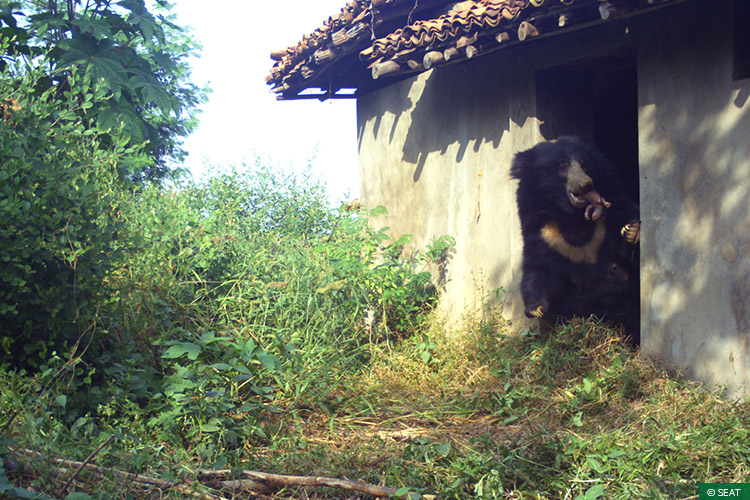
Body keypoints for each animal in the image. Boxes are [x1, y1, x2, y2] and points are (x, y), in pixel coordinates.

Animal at [510, 136, 640, 334]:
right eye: (562, 166)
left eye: (584, 164)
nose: (587, 184)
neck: (571, 216)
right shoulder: (543, 232)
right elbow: (539, 266)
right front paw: (535, 308)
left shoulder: (613, 208)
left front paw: (632, 231)